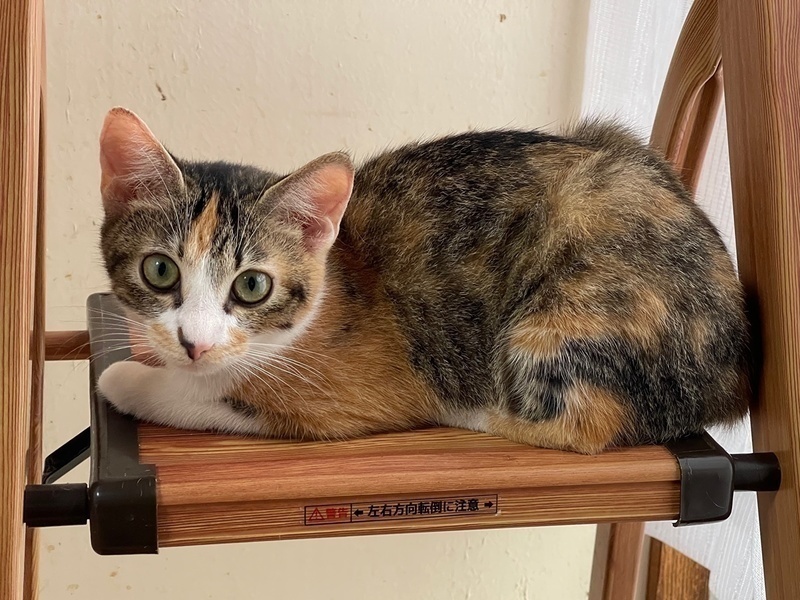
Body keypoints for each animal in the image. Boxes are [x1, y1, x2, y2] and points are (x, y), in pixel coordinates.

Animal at [96, 107, 750, 454]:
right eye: (160, 270)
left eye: (251, 286)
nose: (194, 342)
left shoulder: (349, 395)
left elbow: (216, 396)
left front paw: (128, 379)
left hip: (575, 307)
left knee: (584, 424)